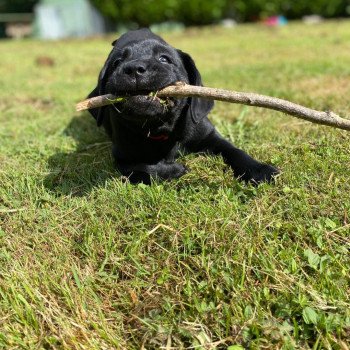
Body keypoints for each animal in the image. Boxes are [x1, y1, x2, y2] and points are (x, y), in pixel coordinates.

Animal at [88, 28, 278, 185]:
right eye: (117, 63)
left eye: (164, 59)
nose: (134, 68)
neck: (162, 131)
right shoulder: (123, 158)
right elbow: (144, 168)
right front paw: (174, 169)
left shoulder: (211, 137)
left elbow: (235, 151)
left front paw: (260, 170)